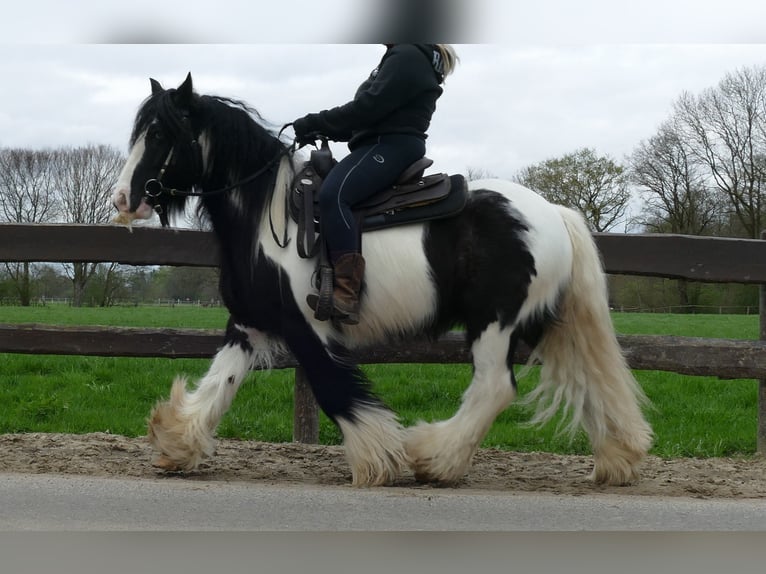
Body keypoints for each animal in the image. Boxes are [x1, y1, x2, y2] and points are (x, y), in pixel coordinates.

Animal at [112, 72, 656, 486]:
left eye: (160, 134)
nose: (123, 199)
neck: (270, 219)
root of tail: (553, 213)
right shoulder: (249, 326)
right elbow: (218, 385)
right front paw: (176, 443)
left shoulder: (307, 329)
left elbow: (335, 390)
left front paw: (380, 460)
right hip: (545, 322)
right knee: (586, 381)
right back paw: (617, 458)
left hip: (495, 323)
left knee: (494, 388)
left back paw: (433, 458)